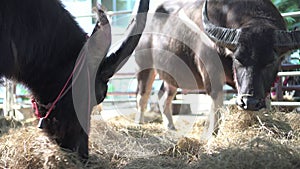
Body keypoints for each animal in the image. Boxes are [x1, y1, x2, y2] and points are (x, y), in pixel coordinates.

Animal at [135, 0, 300, 135]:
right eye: (237, 59)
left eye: (271, 61)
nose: (250, 102)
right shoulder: (212, 75)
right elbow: (217, 106)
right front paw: (212, 133)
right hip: (145, 67)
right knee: (142, 96)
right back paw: (139, 123)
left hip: (172, 75)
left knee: (163, 95)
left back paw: (170, 126)